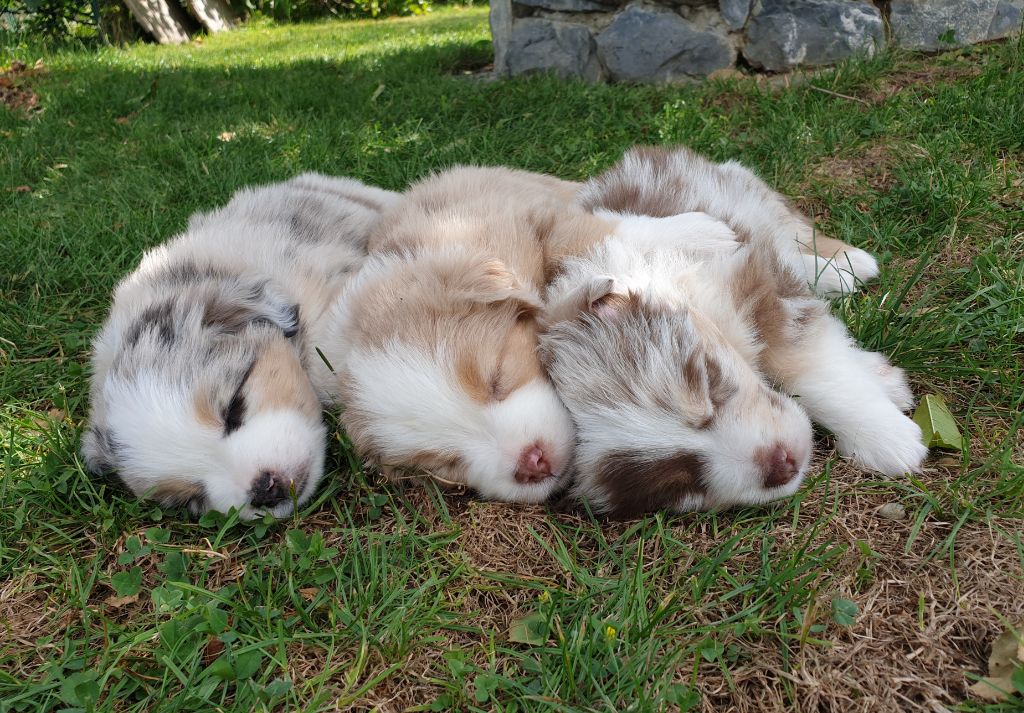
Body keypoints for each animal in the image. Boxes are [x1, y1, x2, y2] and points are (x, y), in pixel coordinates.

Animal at [540, 144, 925, 514]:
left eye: (708, 387)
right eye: (682, 486)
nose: (782, 465)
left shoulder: (759, 289)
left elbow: (809, 371)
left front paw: (890, 439)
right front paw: (884, 390)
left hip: (753, 195)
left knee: (798, 239)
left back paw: (849, 267)